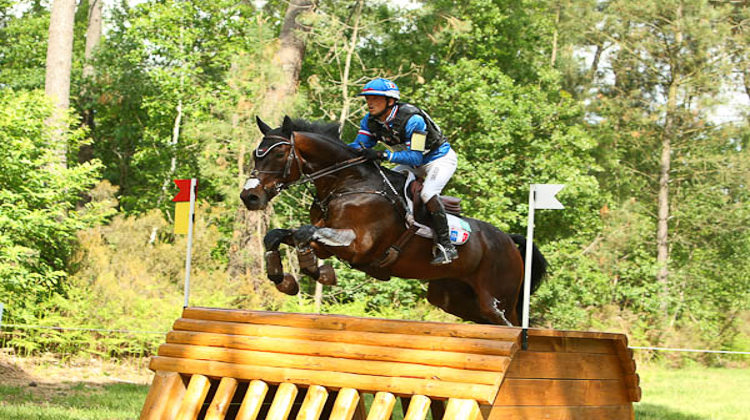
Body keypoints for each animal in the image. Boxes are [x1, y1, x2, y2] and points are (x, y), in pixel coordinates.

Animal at [244, 116, 548, 326]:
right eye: (254, 155)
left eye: (279, 154)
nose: (250, 196)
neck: (347, 182)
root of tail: (509, 240)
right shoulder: (328, 240)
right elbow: (280, 235)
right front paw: (283, 279)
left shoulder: (358, 244)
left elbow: (303, 234)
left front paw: (317, 272)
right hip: (455, 299)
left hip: (496, 299)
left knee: (510, 322)